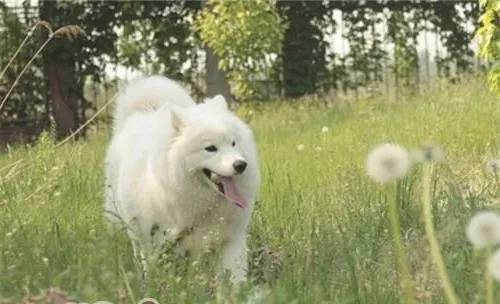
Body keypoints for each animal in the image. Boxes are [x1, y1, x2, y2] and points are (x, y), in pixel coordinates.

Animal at [104, 75, 262, 286]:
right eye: (210, 148)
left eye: (233, 143)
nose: (240, 165)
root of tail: (138, 115)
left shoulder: (230, 239)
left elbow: (235, 275)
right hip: (134, 228)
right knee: (138, 253)